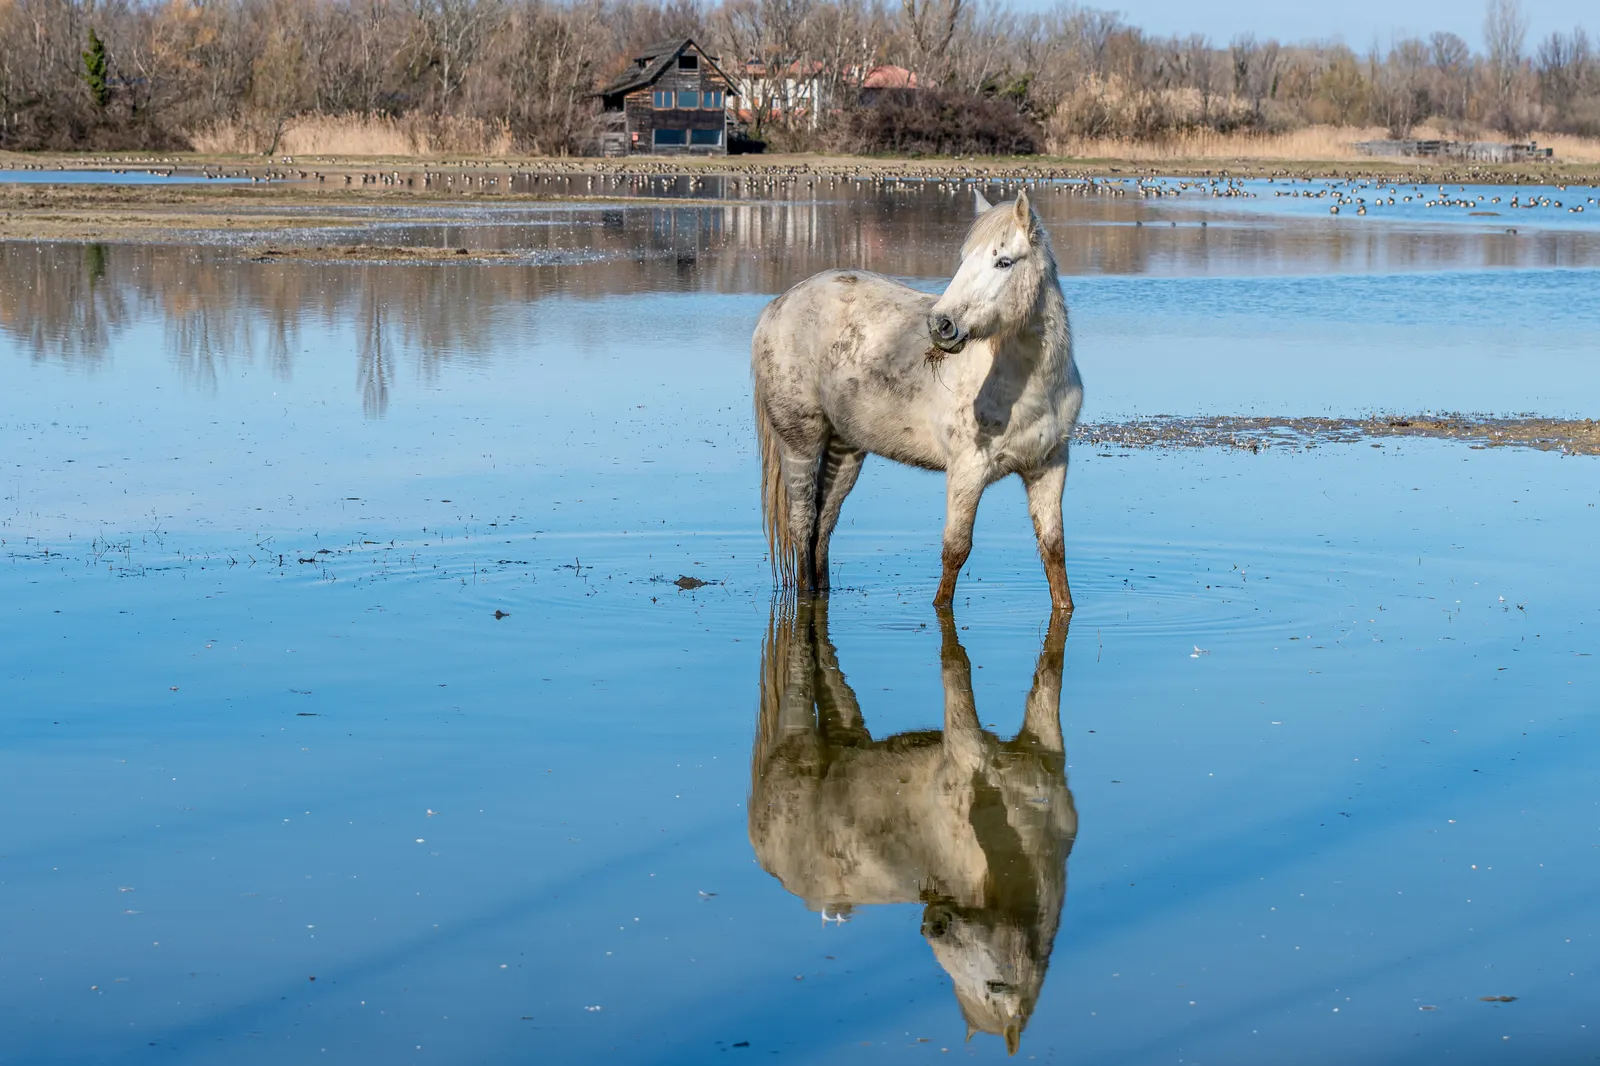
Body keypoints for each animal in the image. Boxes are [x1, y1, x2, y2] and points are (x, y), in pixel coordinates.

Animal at [748, 601, 1077, 1055]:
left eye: (996, 985)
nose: (932, 923)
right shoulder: (964, 747)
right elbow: (957, 671)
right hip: (800, 739)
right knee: (803, 658)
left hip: (845, 733)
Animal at [751, 189, 1083, 610]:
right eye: (964, 258)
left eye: (1004, 261)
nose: (941, 325)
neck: (1028, 387)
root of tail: (778, 305)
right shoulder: (967, 471)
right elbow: (955, 552)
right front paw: (941, 607)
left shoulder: (1049, 466)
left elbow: (1054, 550)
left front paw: (1066, 605)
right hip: (800, 442)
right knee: (802, 523)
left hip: (846, 447)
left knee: (822, 525)